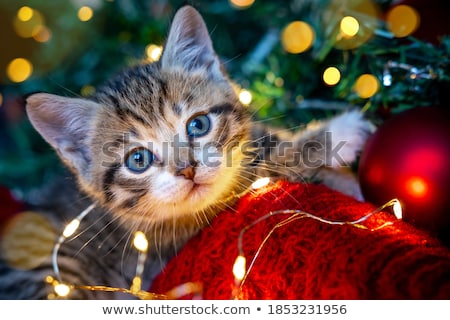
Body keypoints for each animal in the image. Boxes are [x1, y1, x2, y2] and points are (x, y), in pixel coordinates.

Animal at [0, 6, 372, 298]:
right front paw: (335, 133)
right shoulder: (173, 239)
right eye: (138, 160)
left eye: (198, 125)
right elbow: (259, 172)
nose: (187, 170)